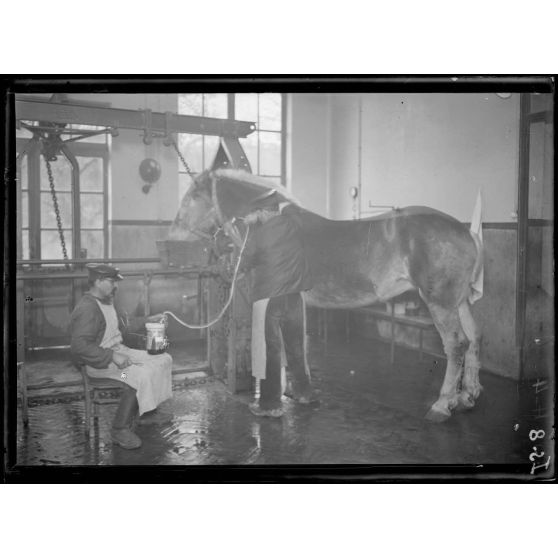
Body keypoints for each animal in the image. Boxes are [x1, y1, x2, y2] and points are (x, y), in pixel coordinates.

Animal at [167, 168, 486, 422]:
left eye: (192, 197)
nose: (173, 237)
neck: (272, 218)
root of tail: (467, 233)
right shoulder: (297, 303)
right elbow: (295, 345)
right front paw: (295, 390)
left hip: (440, 302)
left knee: (456, 345)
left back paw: (442, 405)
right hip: (459, 303)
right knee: (473, 339)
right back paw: (467, 396)